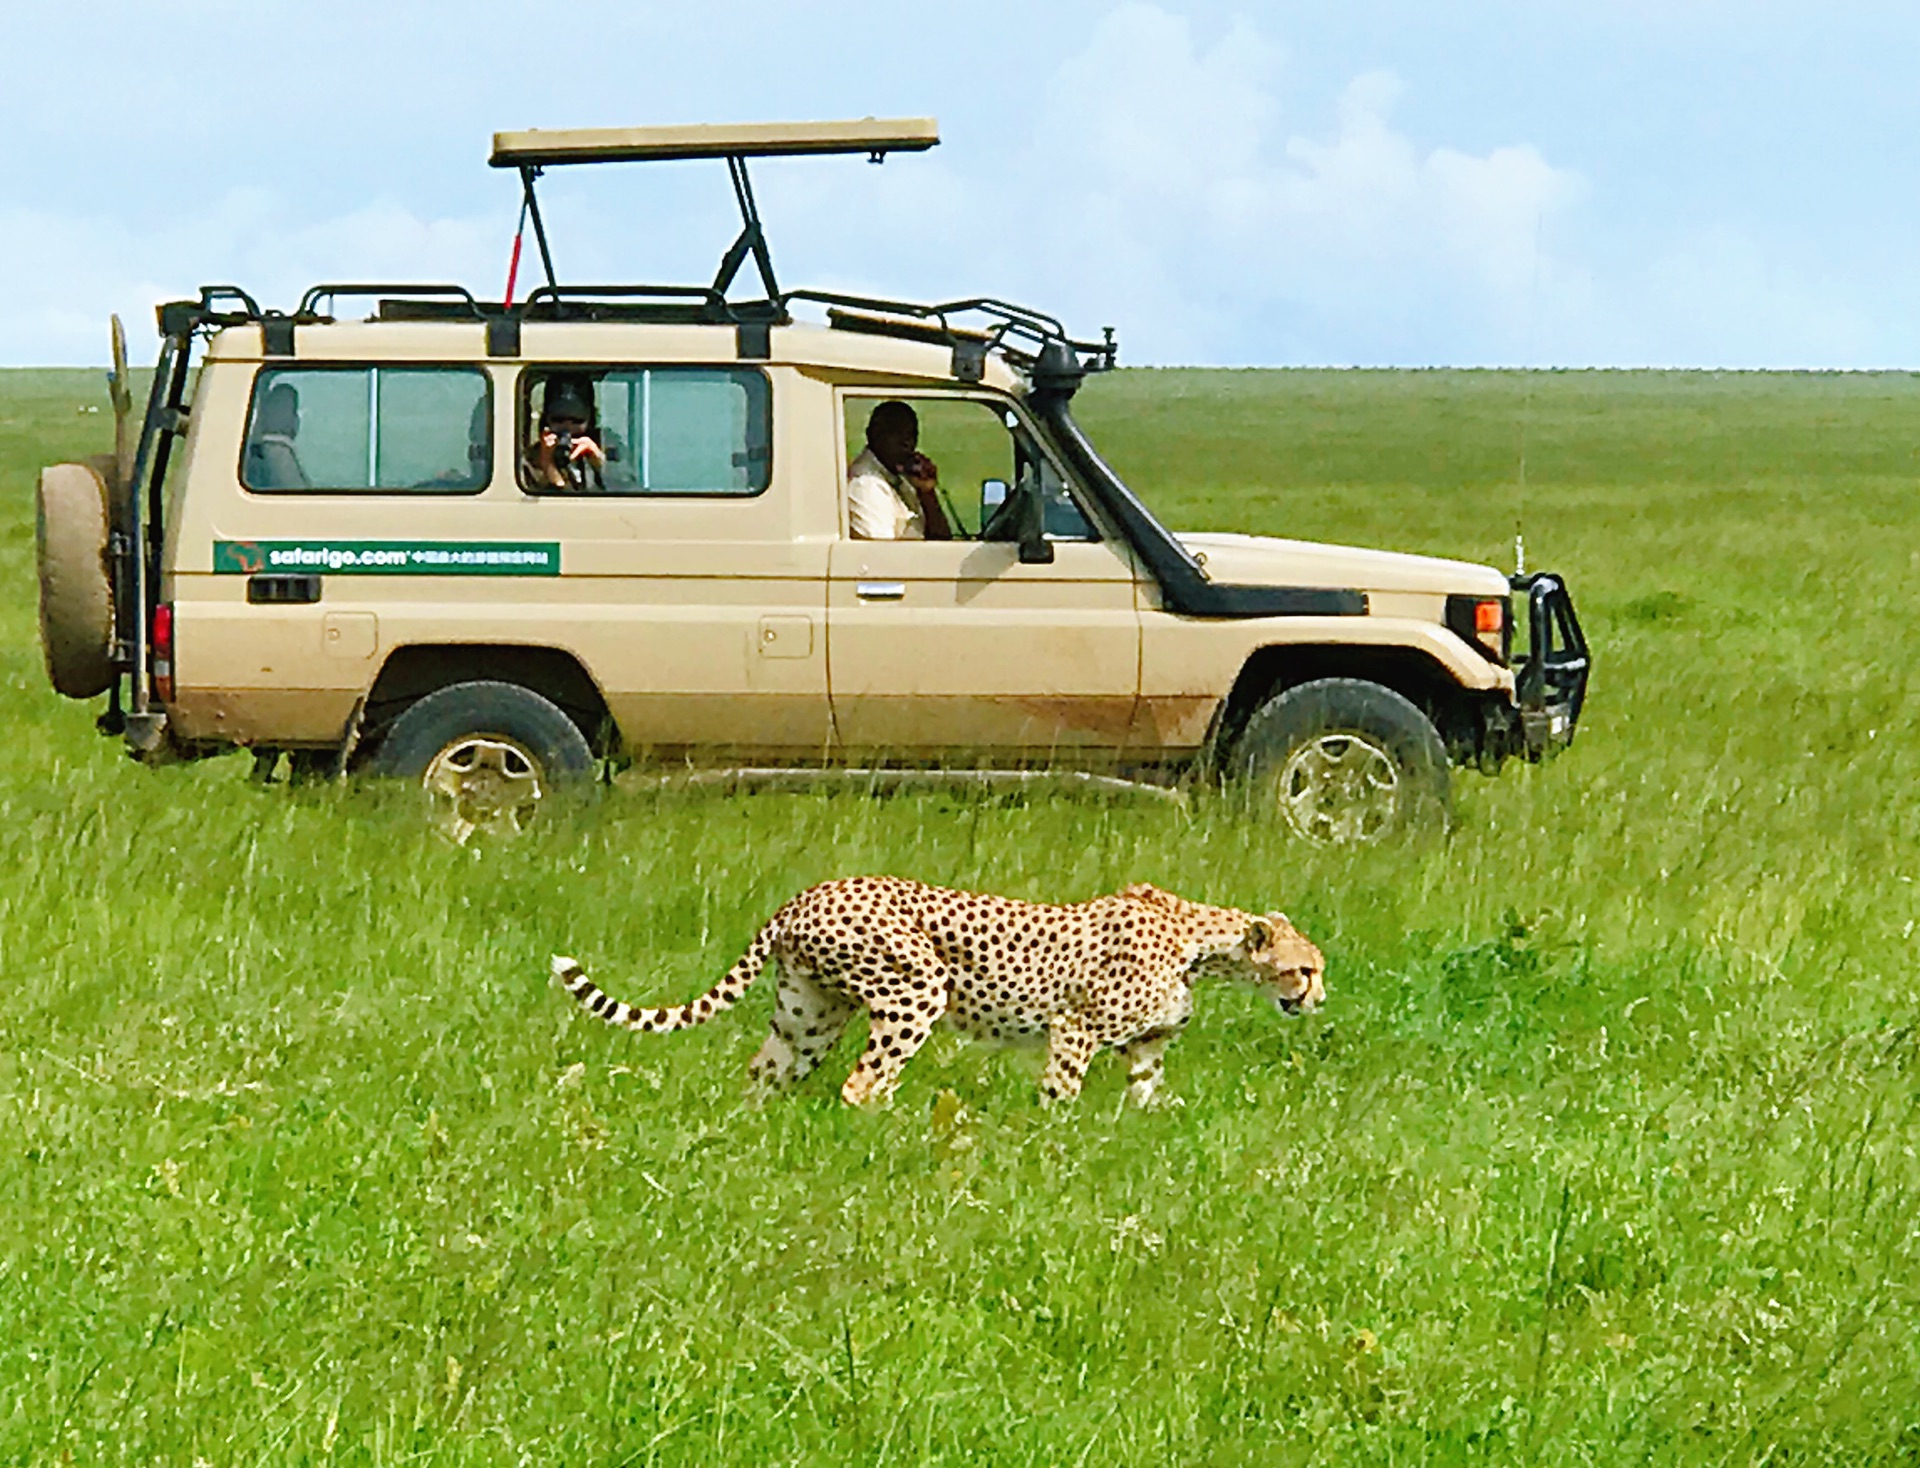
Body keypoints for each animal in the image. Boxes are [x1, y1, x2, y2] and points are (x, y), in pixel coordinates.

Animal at [549, 875, 1313, 1105]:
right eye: (1306, 969)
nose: (1317, 998)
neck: (1200, 941)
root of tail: (807, 893)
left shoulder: (1148, 1047)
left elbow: (1148, 1100)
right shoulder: (1075, 1030)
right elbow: (1060, 1097)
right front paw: (1054, 1152)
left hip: (808, 1016)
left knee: (765, 1074)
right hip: (917, 989)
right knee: (862, 1083)